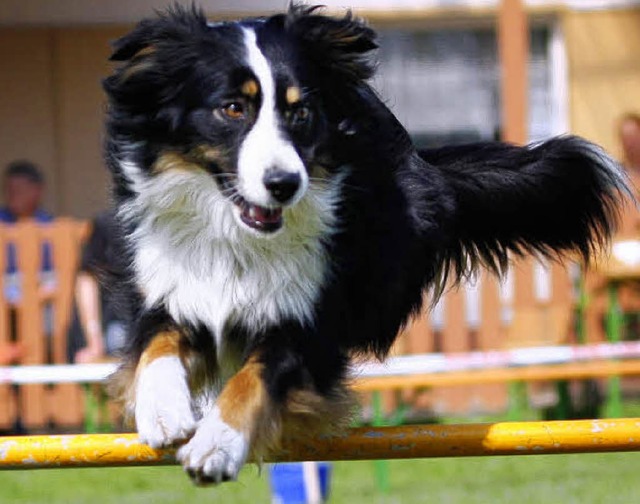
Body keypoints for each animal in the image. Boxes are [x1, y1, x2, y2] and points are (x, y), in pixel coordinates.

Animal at [104, 2, 632, 484]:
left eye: (301, 112)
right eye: (233, 107)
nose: (285, 184)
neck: (236, 235)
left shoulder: (311, 319)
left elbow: (257, 376)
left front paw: (217, 444)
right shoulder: (169, 282)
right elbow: (157, 343)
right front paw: (164, 411)